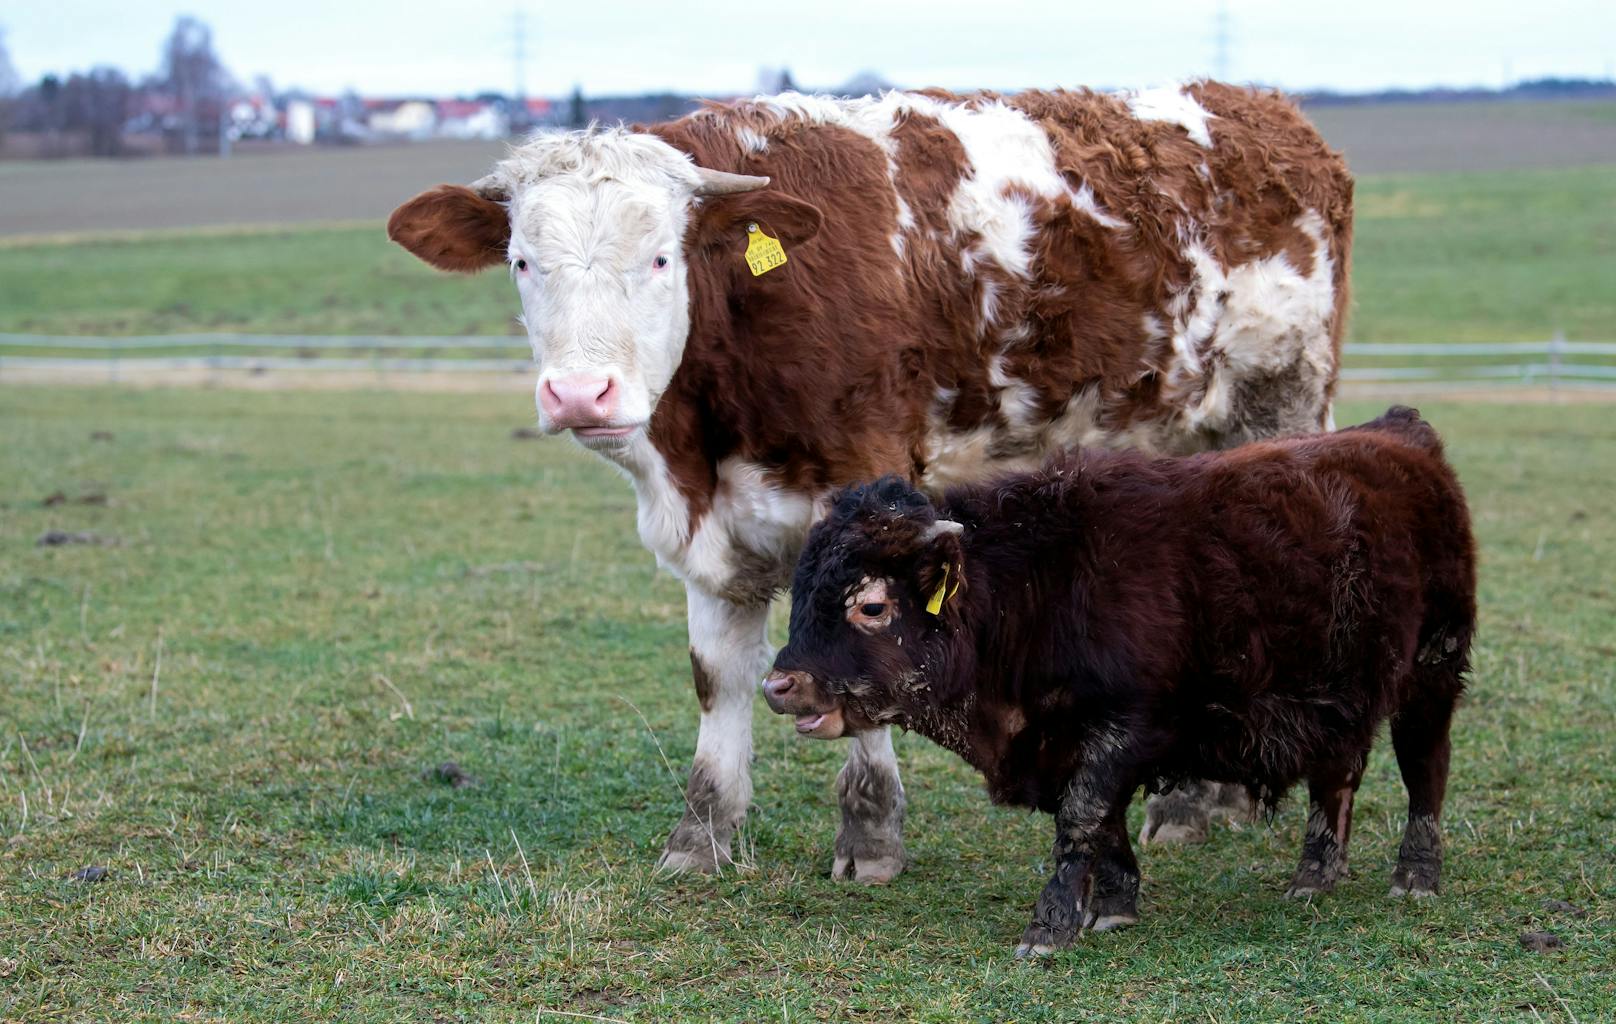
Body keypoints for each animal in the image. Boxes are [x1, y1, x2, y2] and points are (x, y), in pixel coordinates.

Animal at [387, 79, 1350, 878]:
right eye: (522, 261)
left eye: (661, 257)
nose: (581, 393)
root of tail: (1262, 109)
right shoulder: (712, 535)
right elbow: (717, 679)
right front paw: (700, 839)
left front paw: (871, 838)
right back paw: (1200, 797)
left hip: (1280, 406)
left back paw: (1211, 799)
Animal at [769, 405, 1480, 949]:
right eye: (800, 593)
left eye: (870, 604)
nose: (780, 686)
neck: (1039, 588)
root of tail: (1399, 435)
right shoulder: (1065, 745)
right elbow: (1101, 823)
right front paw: (1113, 906)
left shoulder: (1128, 725)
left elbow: (1082, 818)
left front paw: (1050, 927)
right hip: (1339, 700)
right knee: (1336, 778)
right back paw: (1313, 877)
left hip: (1433, 671)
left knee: (1425, 766)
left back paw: (1416, 877)